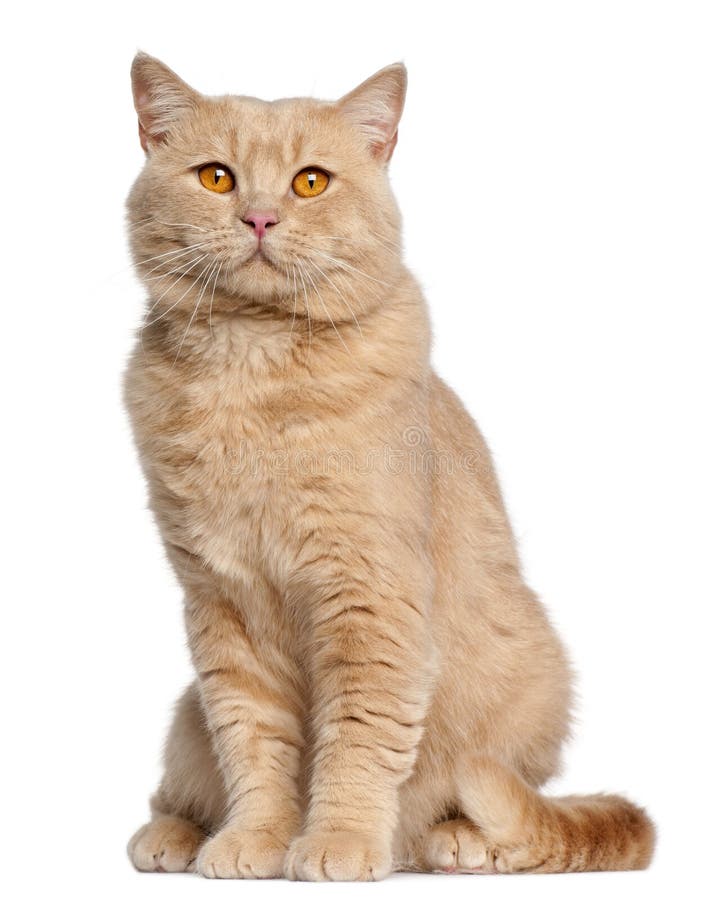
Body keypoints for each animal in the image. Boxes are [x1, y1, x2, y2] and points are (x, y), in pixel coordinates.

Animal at [124, 54, 656, 880]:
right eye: (216, 177)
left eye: (311, 182)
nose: (260, 219)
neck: (252, 373)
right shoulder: (223, 609)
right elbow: (253, 742)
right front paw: (256, 839)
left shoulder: (369, 596)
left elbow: (358, 737)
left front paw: (336, 842)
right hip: (186, 717)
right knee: (184, 785)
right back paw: (175, 835)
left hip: (538, 682)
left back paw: (458, 840)